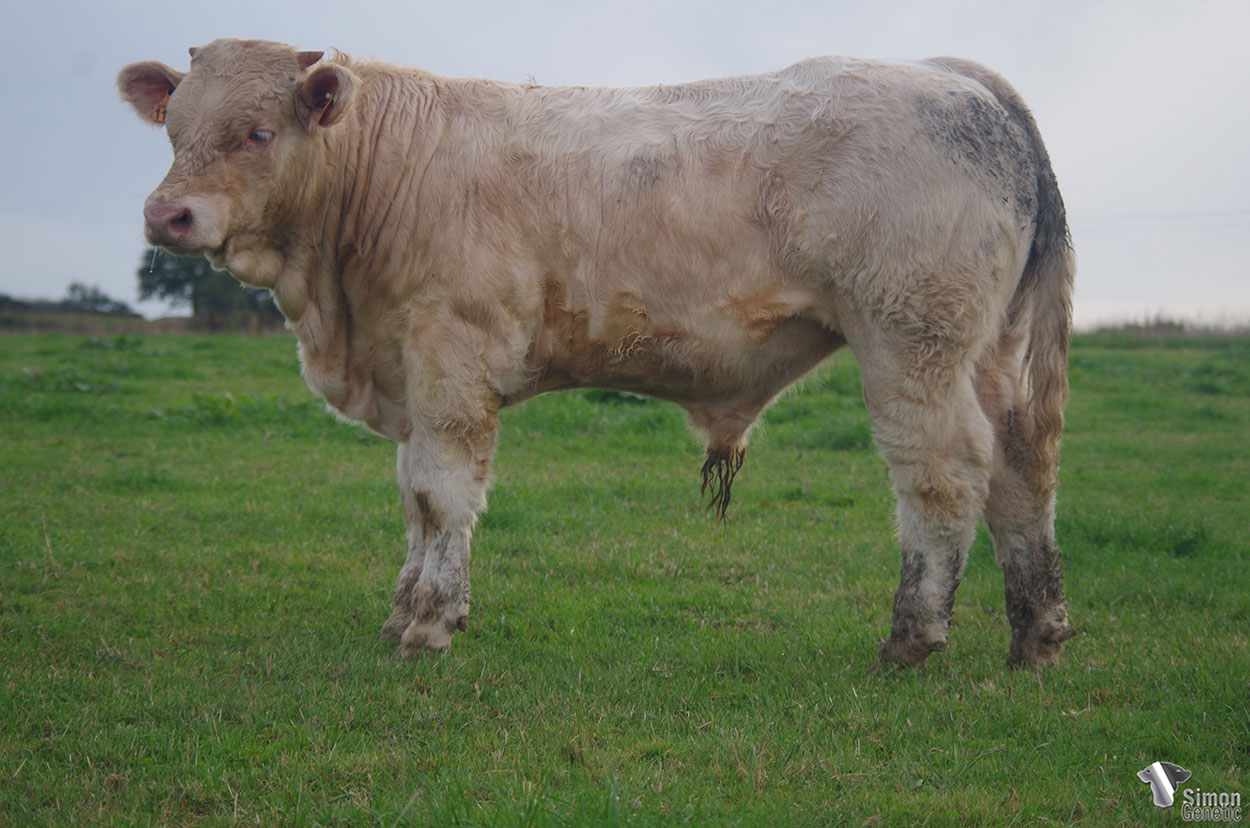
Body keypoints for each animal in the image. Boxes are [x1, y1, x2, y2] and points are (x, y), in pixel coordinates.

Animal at [118, 39, 1076, 669]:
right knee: (1020, 470)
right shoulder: (409, 372)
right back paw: (1036, 632)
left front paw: (431, 621)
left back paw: (912, 636)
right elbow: (415, 500)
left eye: (257, 132)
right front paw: (403, 611)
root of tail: (951, 73)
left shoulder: (449, 361)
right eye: (173, 129)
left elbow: (445, 495)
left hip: (912, 340)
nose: (167, 214)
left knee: (945, 475)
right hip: (987, 354)